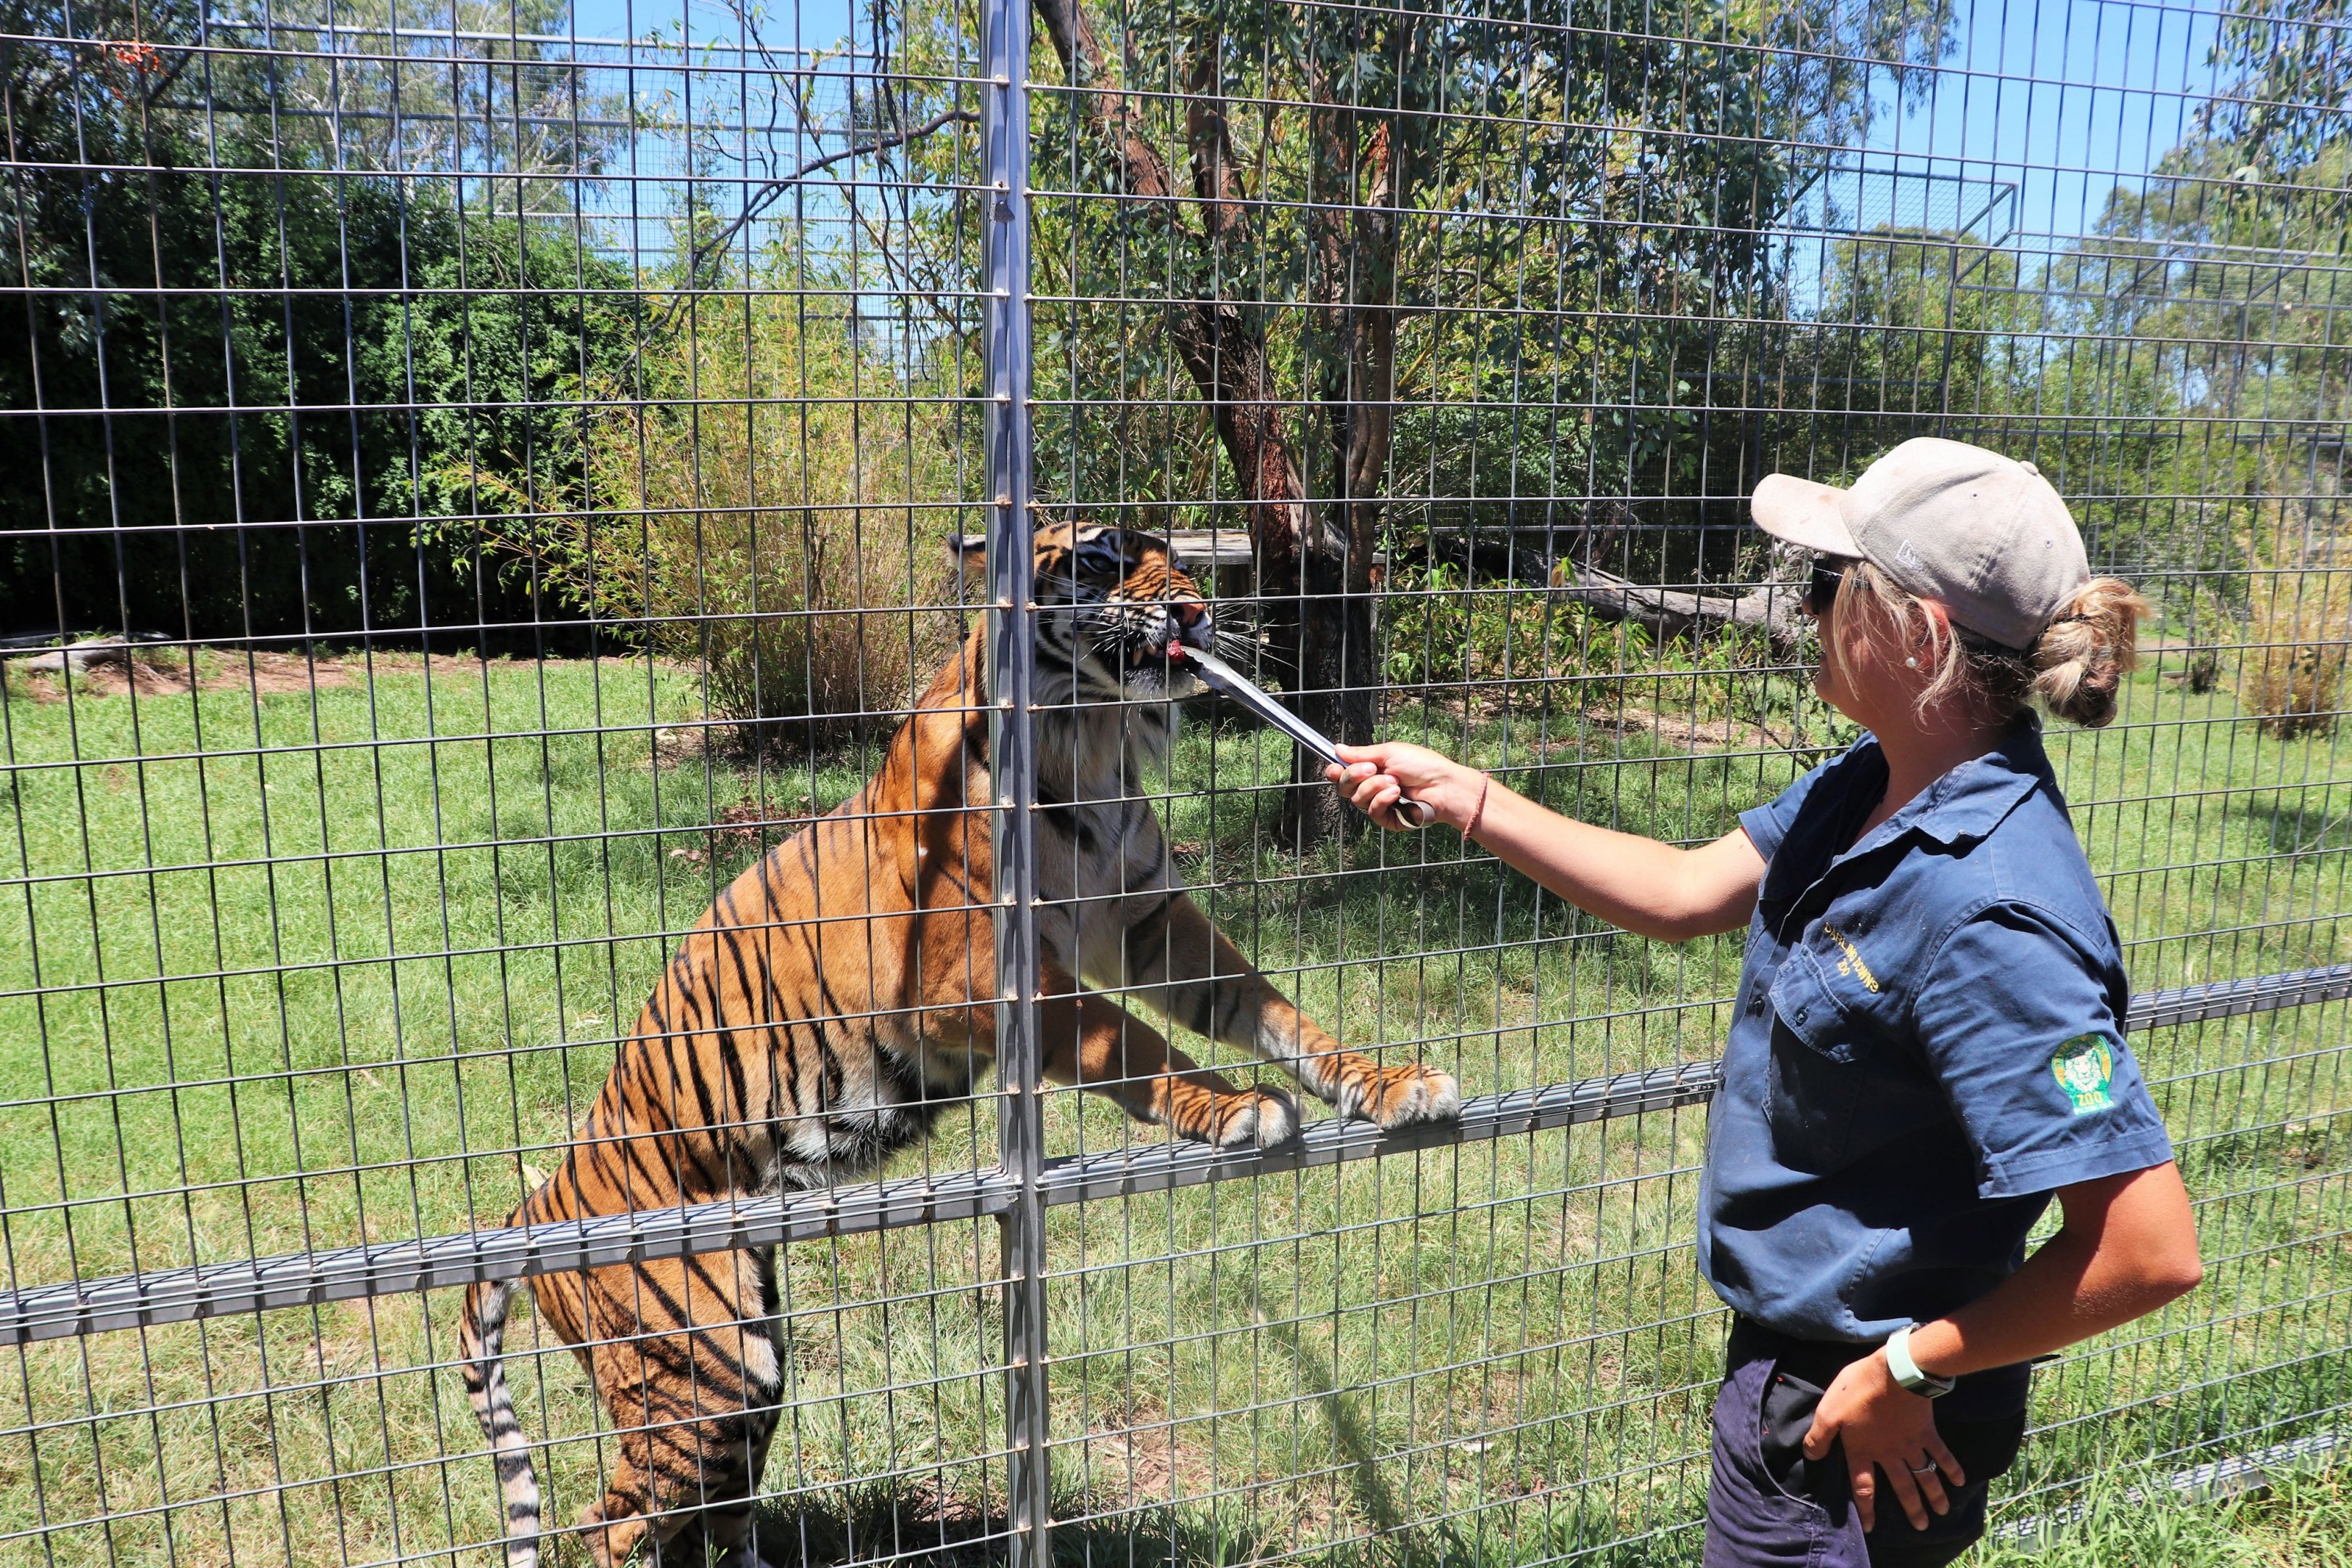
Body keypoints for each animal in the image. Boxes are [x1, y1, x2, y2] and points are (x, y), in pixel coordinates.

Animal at [457, 522, 1459, 1568]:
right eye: (1099, 561)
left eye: (1177, 558)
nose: (1195, 609)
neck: (1091, 738)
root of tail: (537, 1203)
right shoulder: (988, 981)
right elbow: (1139, 1047)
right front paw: (1237, 1107)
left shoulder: (1150, 923)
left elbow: (1270, 1009)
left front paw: (1388, 1083)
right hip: (700, 1373)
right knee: (609, 1528)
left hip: (747, 1371)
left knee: (713, 1519)